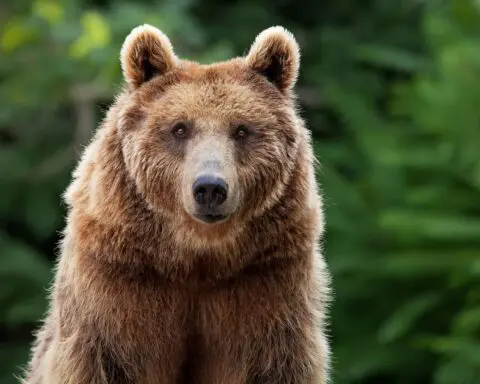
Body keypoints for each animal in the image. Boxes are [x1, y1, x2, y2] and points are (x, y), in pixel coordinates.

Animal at [22, 24, 330, 384]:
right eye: (179, 128)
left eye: (241, 130)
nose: (210, 187)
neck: (195, 255)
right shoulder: (115, 281)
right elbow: (99, 356)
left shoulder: (268, 280)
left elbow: (276, 362)